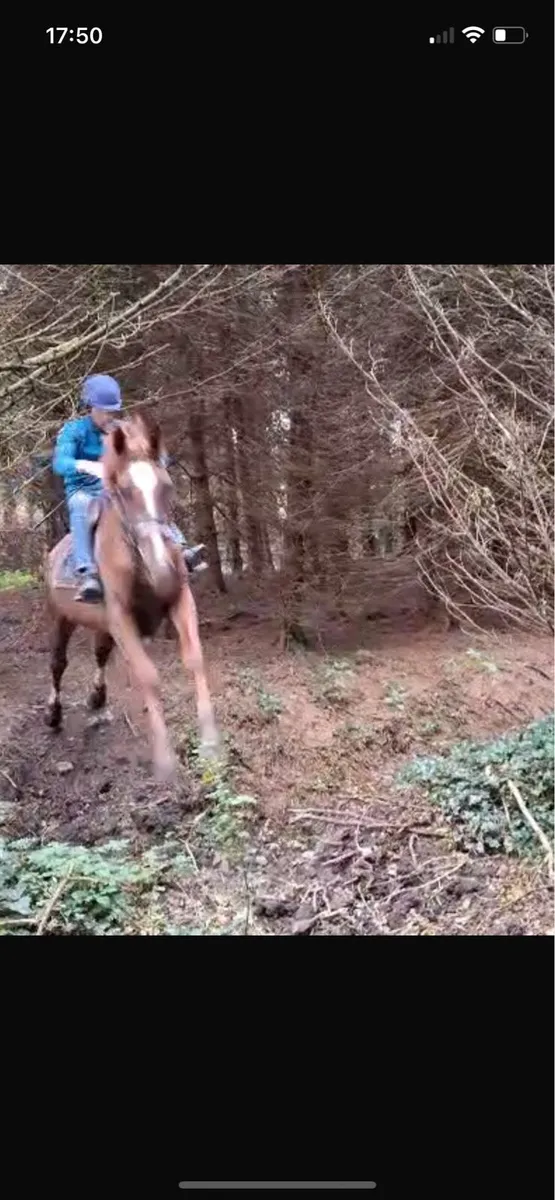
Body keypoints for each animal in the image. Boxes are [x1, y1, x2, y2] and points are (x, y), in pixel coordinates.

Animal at [43, 412, 217, 781]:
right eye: (124, 492)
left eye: (167, 487)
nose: (162, 567)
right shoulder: (121, 619)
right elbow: (148, 676)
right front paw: (165, 761)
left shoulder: (181, 602)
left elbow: (195, 659)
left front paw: (211, 743)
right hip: (62, 618)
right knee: (58, 663)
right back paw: (53, 714)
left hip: (101, 626)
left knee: (99, 654)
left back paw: (97, 700)